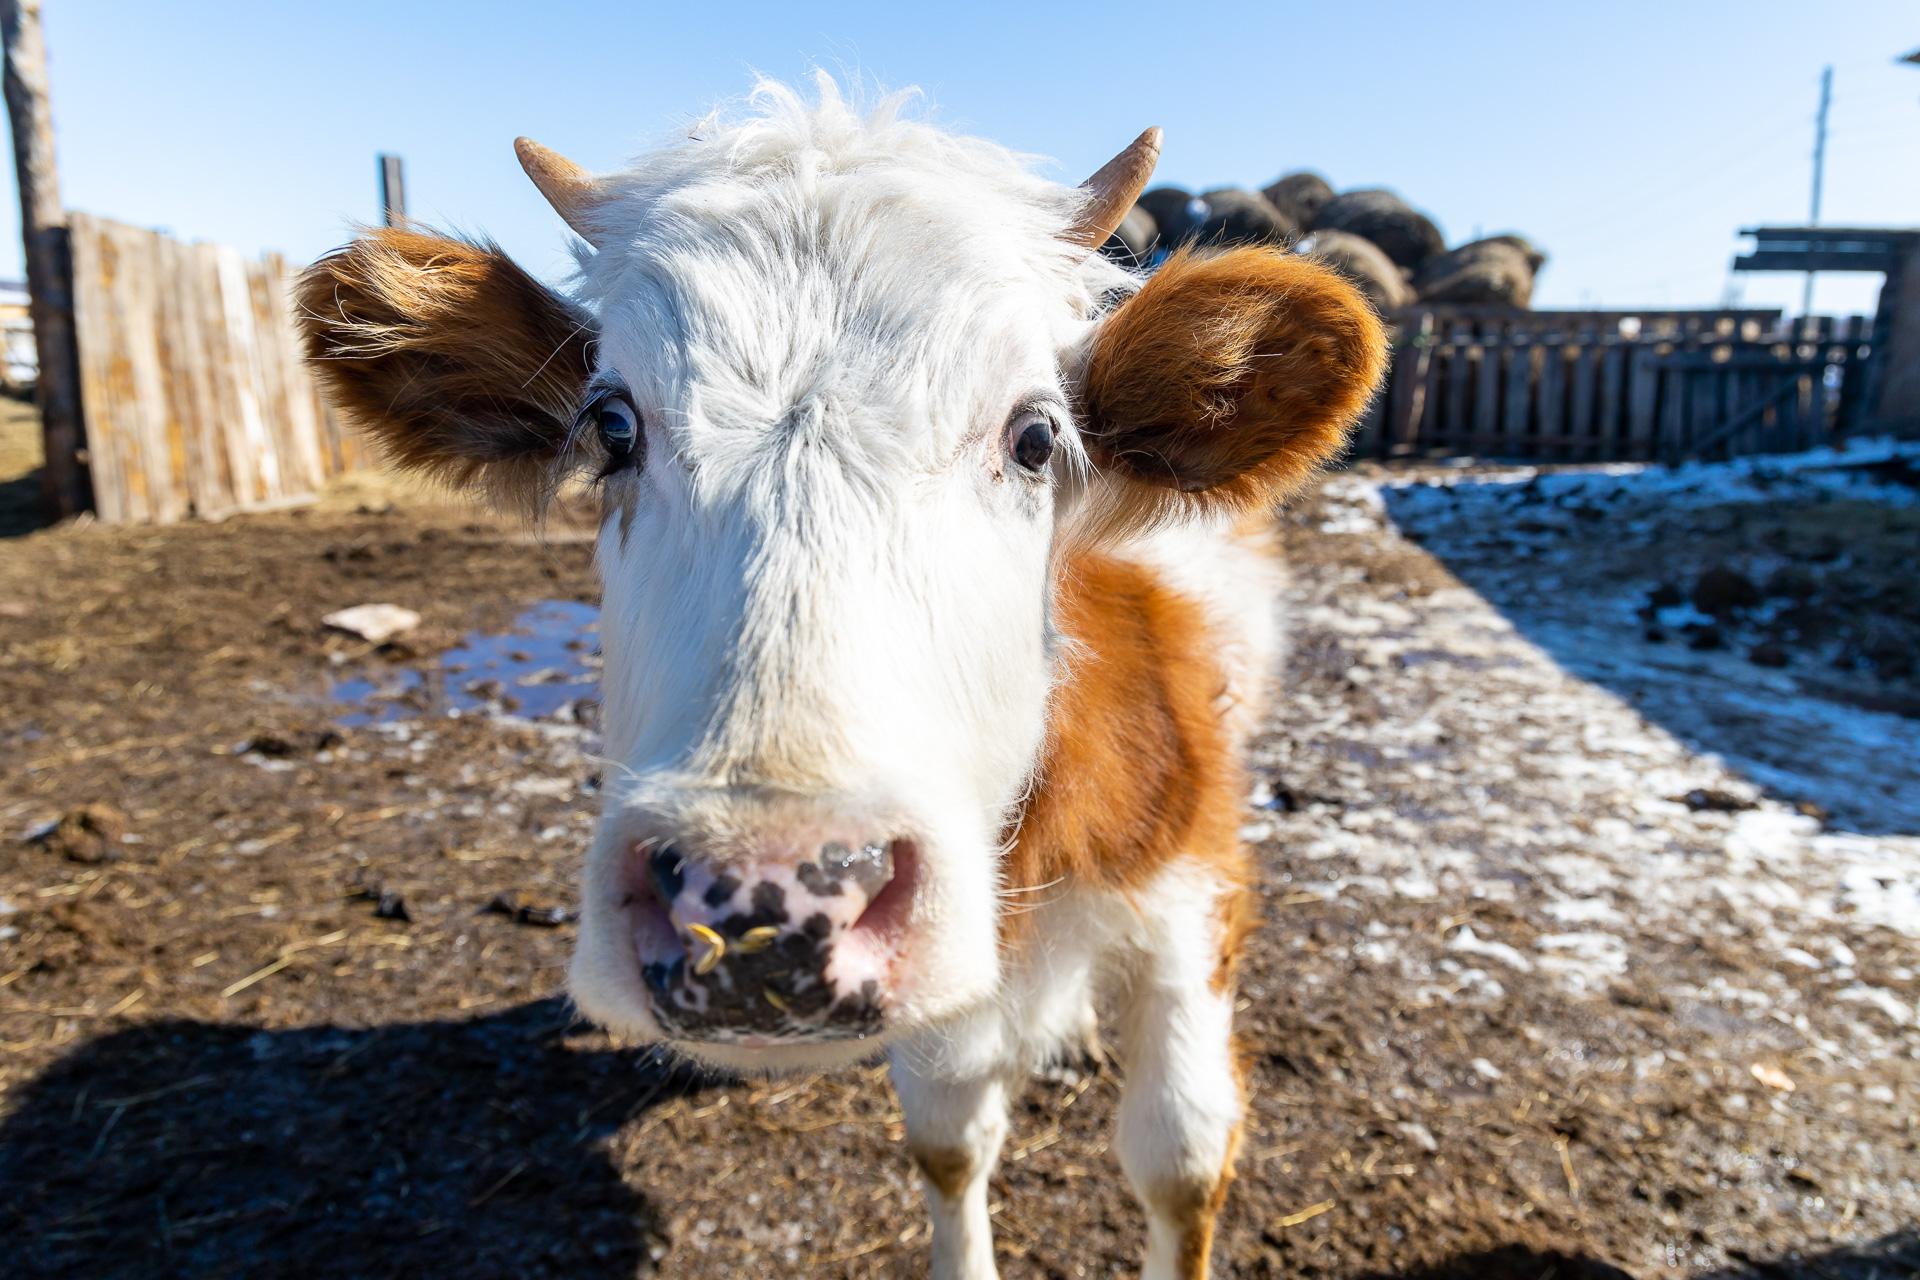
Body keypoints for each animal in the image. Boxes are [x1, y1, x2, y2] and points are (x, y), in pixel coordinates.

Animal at [295, 82, 1382, 1280]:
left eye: (1036, 437)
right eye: (612, 426)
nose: (762, 900)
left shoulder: (1195, 891)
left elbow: (1180, 1158)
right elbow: (951, 1142)